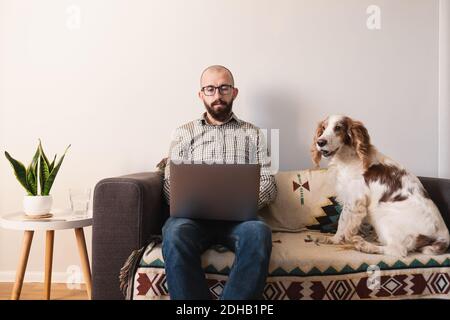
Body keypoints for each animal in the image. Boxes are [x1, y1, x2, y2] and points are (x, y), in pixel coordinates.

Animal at [312, 115, 448, 258]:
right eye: (323, 128)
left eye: (338, 128)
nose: (320, 142)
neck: (348, 158)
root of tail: (443, 238)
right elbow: (342, 222)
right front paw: (333, 239)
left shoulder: (355, 200)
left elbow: (344, 223)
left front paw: (340, 239)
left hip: (382, 214)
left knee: (397, 250)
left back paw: (365, 245)